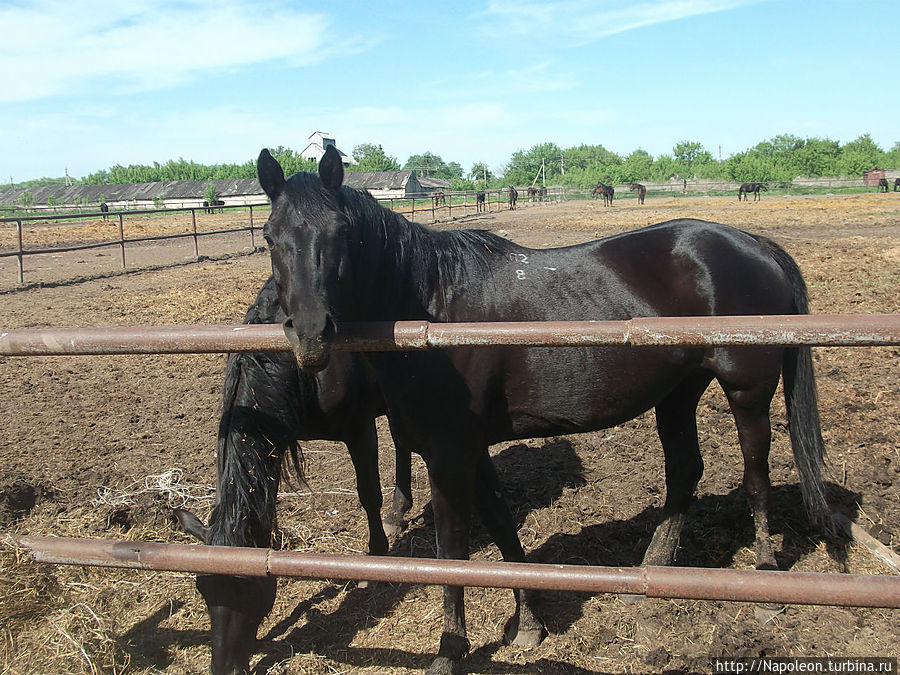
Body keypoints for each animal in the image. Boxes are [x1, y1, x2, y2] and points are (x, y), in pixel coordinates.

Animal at [175, 276, 412, 675]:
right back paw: (399, 512)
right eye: (202, 589)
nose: (225, 668)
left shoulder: (358, 428)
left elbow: (368, 494)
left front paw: (376, 558)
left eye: (248, 587)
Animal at [258, 147, 828, 675]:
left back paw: (766, 581)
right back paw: (650, 573)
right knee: (685, 472)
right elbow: (503, 528)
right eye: (269, 236)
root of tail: (755, 245)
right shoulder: (470, 450)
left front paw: (450, 650)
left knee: (755, 476)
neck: (433, 307)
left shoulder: (448, 456)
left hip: (747, 393)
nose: (310, 334)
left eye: (340, 233)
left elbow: (453, 553)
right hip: (677, 394)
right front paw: (530, 621)